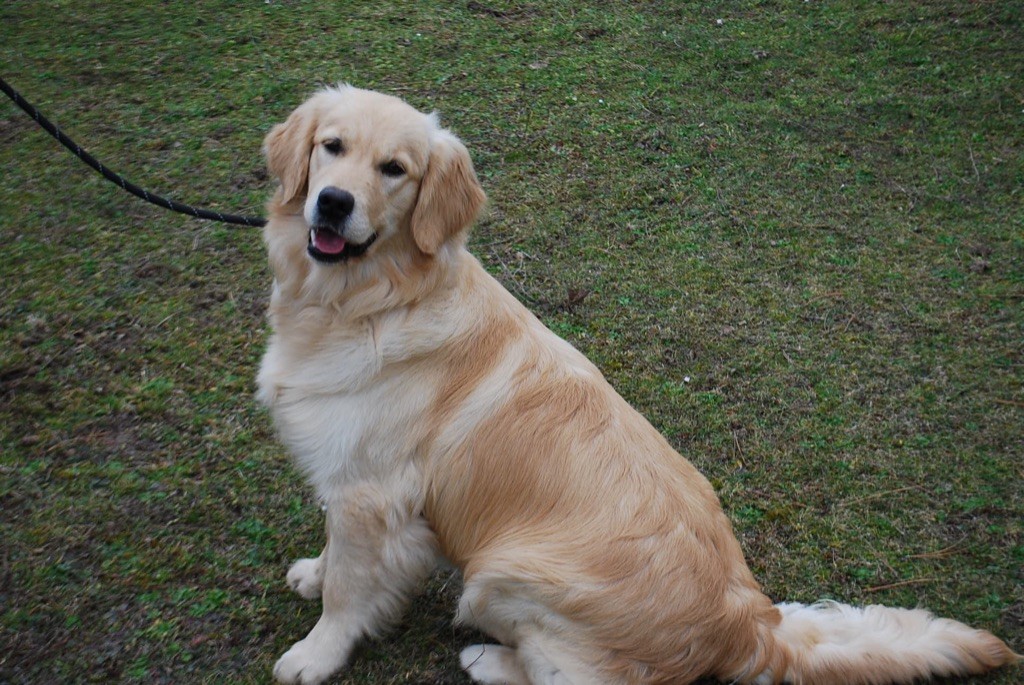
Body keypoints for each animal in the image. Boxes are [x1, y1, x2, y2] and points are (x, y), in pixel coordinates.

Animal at [258, 87, 1015, 683]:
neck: (373, 300)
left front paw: (316, 654)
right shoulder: (348, 482)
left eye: (395, 169)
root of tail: (748, 621)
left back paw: (487, 659)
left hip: (502, 571)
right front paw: (314, 572)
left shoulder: (375, 494)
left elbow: (351, 591)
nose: (332, 203)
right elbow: (337, 556)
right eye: (331, 147)